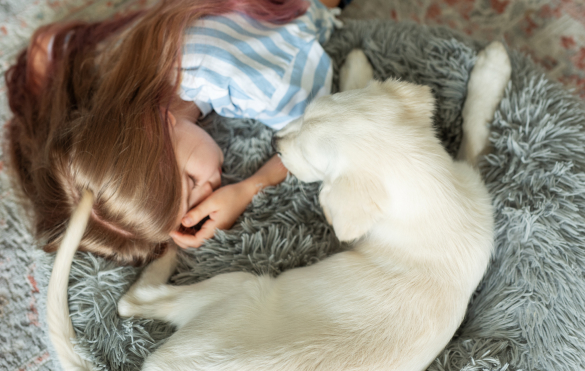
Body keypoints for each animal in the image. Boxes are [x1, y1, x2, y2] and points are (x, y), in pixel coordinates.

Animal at [48, 41, 508, 371]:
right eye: (307, 112)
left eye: (306, 158)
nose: (275, 141)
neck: (433, 193)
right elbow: (475, 136)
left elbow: (475, 136)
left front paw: (489, 75)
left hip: (240, 286)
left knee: (134, 300)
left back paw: (170, 250)